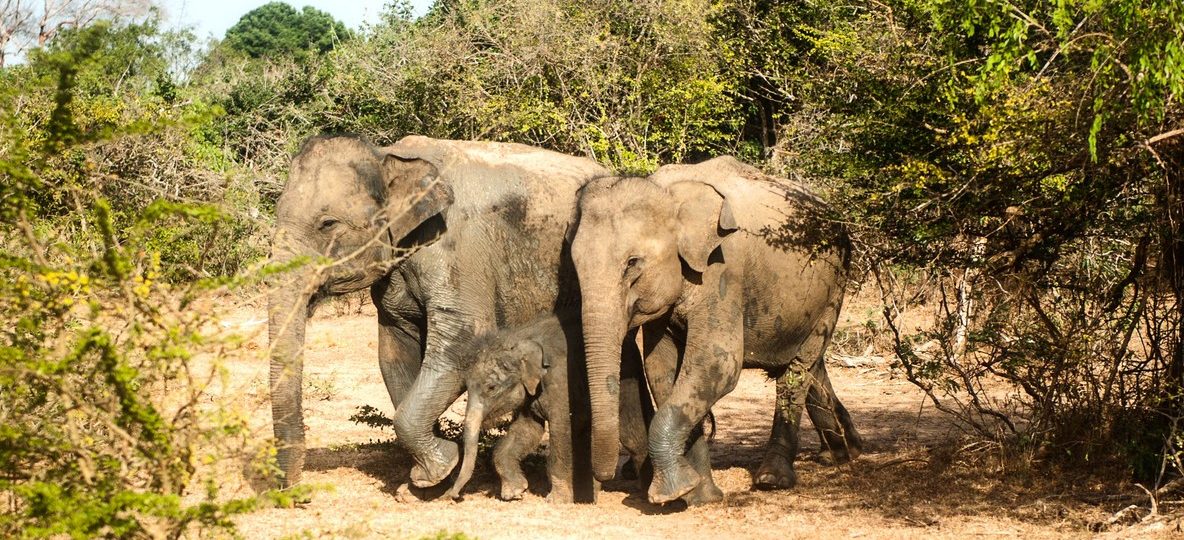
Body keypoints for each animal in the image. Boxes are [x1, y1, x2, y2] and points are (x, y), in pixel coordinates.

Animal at [267, 134, 608, 490]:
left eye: (327, 224)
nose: (296, 491)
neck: (388, 155)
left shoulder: (459, 251)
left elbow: (461, 343)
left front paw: (438, 470)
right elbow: (394, 353)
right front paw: (423, 482)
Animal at [446, 312, 692, 503]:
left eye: (491, 387)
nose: (453, 495)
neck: (521, 337)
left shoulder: (559, 381)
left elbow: (561, 430)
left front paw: (556, 500)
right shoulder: (530, 393)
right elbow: (527, 430)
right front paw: (514, 493)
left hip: (626, 379)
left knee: (631, 433)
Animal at [568, 156, 863, 504]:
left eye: (633, 262)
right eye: (574, 265)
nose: (603, 478)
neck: (669, 192)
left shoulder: (723, 268)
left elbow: (717, 363)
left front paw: (670, 493)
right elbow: (662, 370)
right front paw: (699, 495)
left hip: (835, 283)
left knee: (797, 370)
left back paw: (773, 478)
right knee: (810, 363)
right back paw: (843, 453)